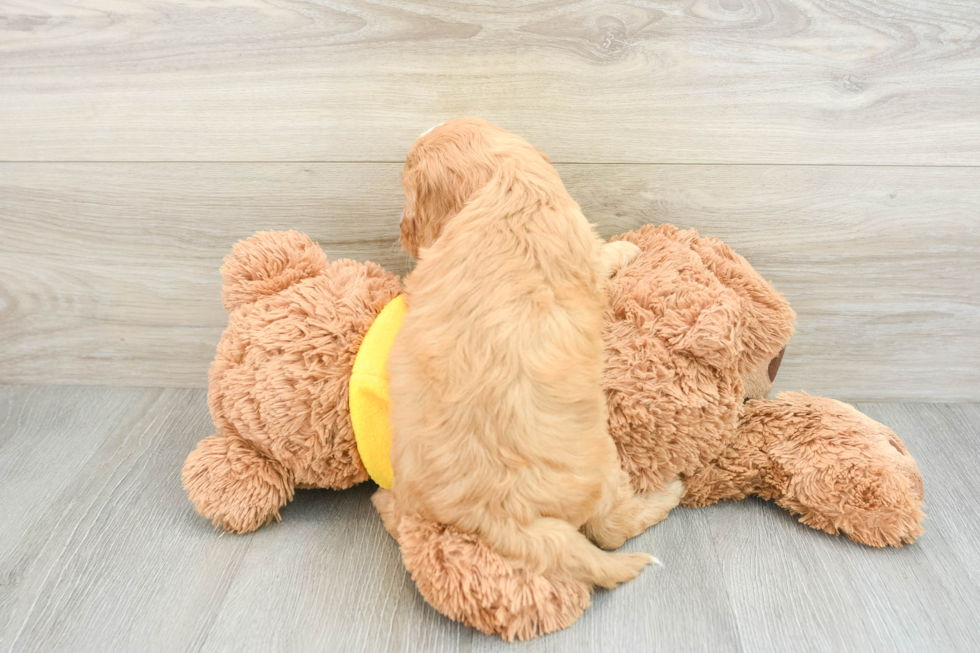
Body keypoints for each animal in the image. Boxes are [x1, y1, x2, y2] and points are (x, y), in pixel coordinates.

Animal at [378, 118, 680, 592]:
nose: (403, 231)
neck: (503, 182)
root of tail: (496, 516)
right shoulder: (584, 246)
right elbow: (604, 254)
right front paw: (628, 249)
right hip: (602, 468)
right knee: (611, 528)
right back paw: (668, 494)